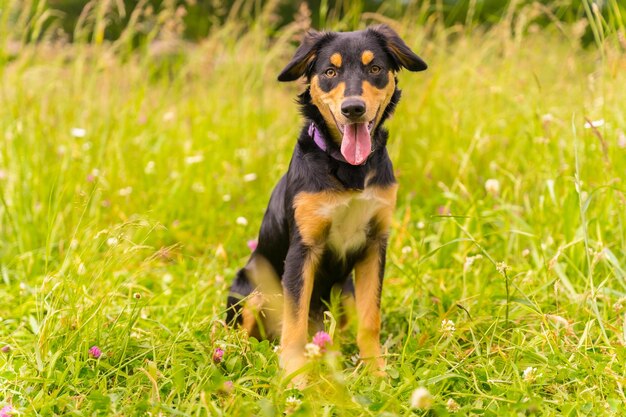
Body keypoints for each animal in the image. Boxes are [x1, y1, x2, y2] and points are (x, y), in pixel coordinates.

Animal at [227, 24, 426, 376]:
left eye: (375, 69)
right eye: (330, 72)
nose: (353, 109)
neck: (349, 170)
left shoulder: (375, 244)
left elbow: (370, 320)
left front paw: (376, 370)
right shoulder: (303, 249)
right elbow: (294, 324)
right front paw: (295, 375)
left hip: (345, 292)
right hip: (253, 287)